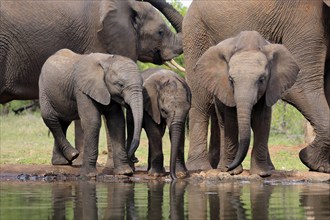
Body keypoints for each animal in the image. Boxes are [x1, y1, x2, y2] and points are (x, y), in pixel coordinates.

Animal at [195, 31, 300, 176]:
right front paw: (233, 172)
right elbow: (232, 120)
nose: (229, 167)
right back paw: (223, 166)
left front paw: (262, 173)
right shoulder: (226, 89)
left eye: (262, 79)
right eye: (230, 80)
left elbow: (262, 120)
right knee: (223, 124)